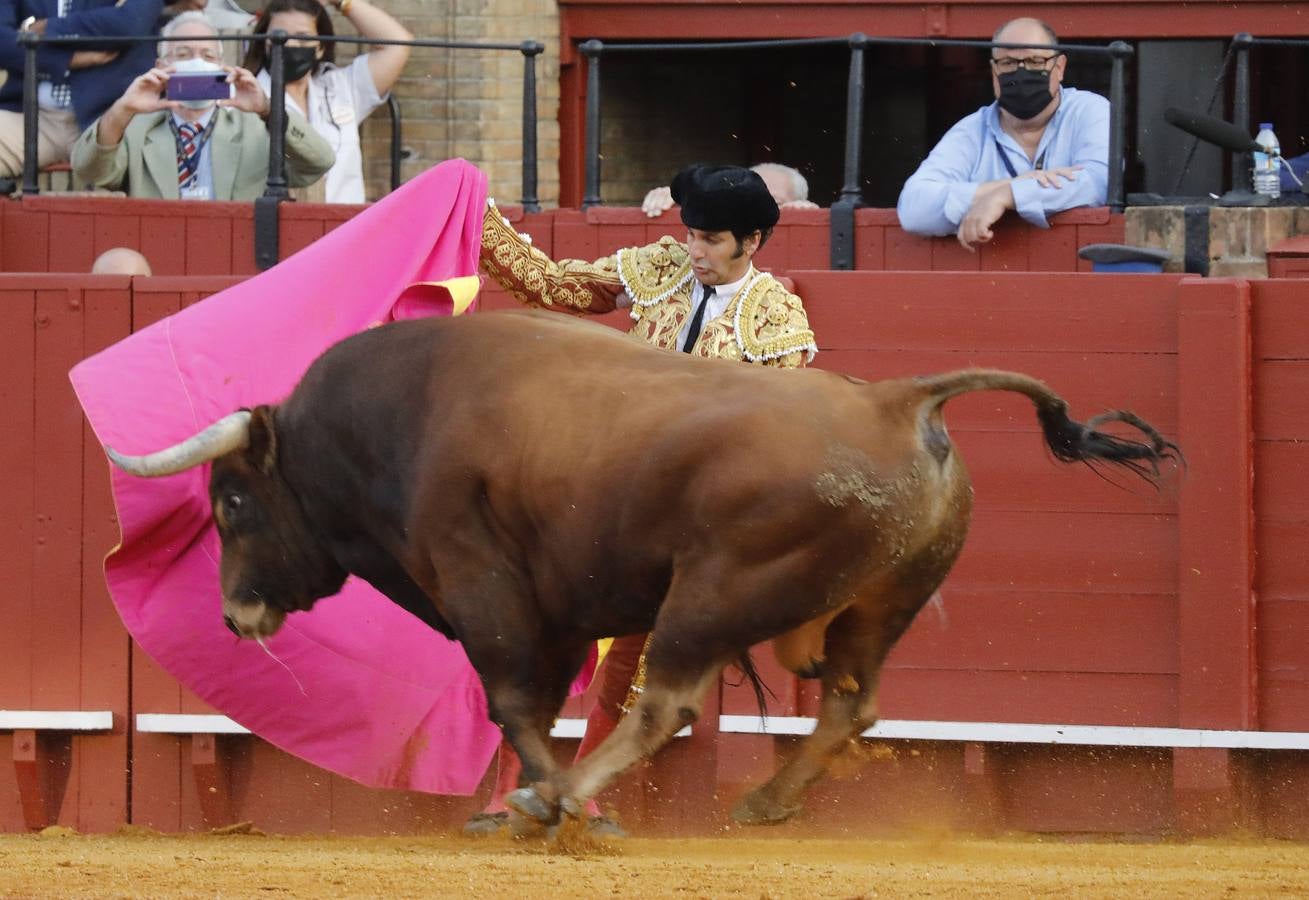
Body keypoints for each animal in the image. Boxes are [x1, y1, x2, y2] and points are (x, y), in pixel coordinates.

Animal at [109, 308, 1178, 831]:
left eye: (232, 502)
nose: (236, 615)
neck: (381, 425)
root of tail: (895, 399)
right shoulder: (558, 605)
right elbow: (542, 704)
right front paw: (526, 801)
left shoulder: (481, 580)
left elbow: (513, 700)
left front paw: (541, 800)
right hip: (883, 605)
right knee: (850, 702)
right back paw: (764, 803)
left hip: (712, 593)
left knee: (667, 705)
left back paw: (577, 799)